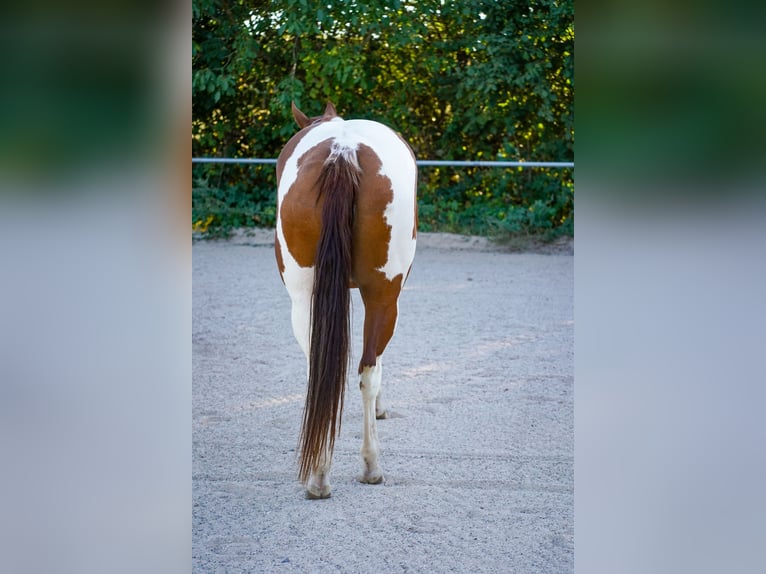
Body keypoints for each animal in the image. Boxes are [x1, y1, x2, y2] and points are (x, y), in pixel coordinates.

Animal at [274, 102, 417, 498]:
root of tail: (343, 150)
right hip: (383, 295)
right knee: (368, 369)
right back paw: (369, 466)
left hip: (304, 298)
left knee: (323, 370)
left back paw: (319, 474)